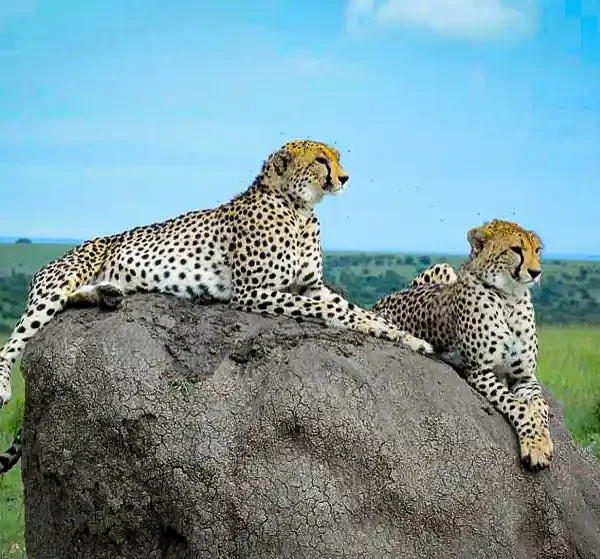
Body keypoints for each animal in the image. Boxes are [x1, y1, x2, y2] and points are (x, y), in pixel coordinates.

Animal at [0, 139, 434, 475]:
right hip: (57, 286)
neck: (298, 208)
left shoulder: (311, 286)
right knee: (13, 343)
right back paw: (5, 384)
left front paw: (406, 338)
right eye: (320, 160)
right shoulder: (256, 292)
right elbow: (335, 313)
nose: (344, 178)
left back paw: (106, 294)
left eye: (337, 156)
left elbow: (357, 310)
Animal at [372, 219, 553, 471]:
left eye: (537, 250)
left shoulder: (525, 377)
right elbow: (518, 405)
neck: (510, 299)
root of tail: (379, 302)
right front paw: (535, 444)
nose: (536, 272)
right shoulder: (480, 372)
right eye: (516, 249)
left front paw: (542, 439)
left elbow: (539, 405)